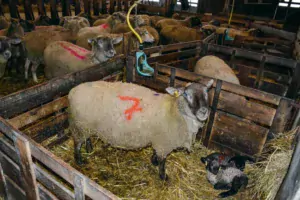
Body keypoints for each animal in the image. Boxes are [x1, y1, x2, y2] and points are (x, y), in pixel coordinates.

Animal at [68, 79, 213, 180]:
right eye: (187, 94)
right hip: (79, 125)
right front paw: (163, 176)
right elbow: (163, 161)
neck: (175, 110)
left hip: (87, 125)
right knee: (77, 143)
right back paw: (80, 161)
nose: (203, 111)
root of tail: (72, 91)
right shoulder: (164, 143)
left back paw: (89, 149)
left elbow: (155, 153)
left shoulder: (158, 139)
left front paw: (153, 161)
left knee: (87, 138)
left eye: (207, 93)